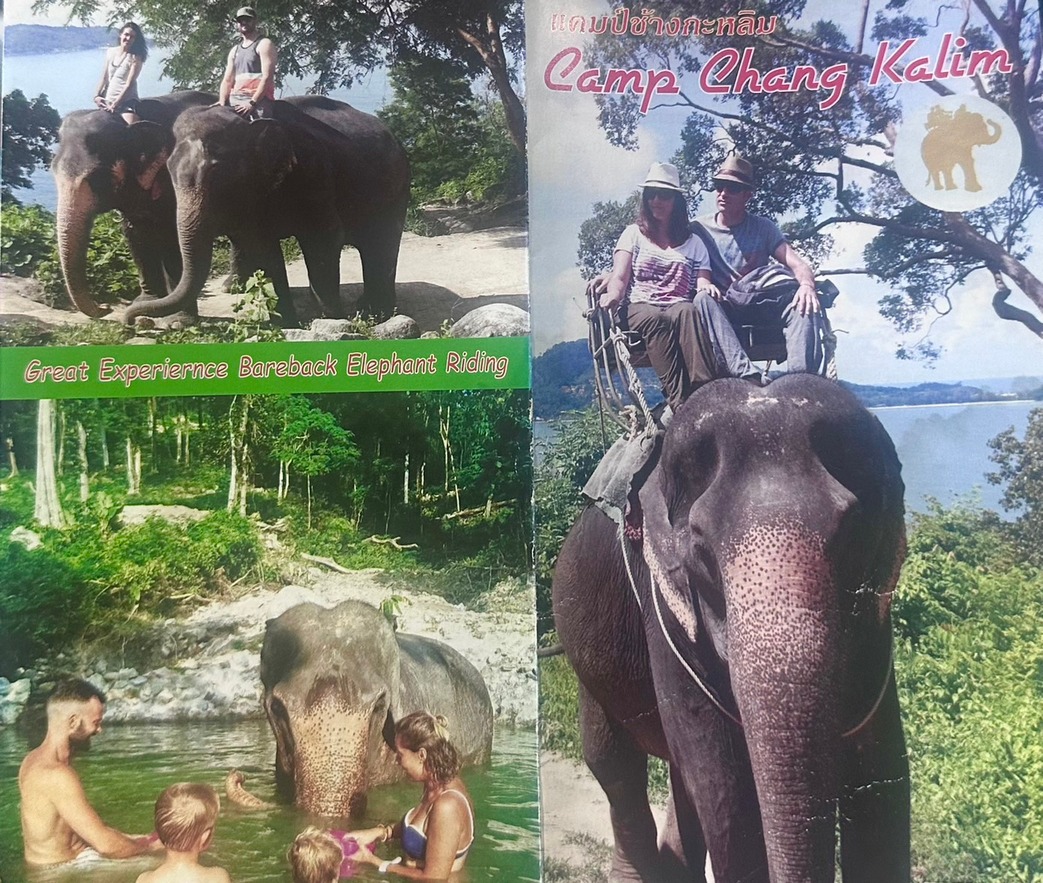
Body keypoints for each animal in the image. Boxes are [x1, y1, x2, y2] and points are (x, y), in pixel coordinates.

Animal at [51, 91, 216, 318]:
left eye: (98, 178)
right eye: (53, 171)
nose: (106, 307)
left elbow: (172, 237)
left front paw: (179, 320)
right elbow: (136, 234)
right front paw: (146, 303)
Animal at [122, 96, 410, 328]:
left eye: (217, 171)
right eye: (168, 172)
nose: (132, 321)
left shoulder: (313, 172)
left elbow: (323, 240)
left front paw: (332, 320)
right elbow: (261, 247)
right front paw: (285, 324)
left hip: (396, 188)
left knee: (382, 242)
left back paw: (375, 313)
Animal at [552, 374, 910, 883]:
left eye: (850, 535)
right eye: (701, 548)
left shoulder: (876, 625)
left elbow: (885, 777)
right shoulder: (662, 605)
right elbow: (725, 793)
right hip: (588, 665)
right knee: (615, 768)